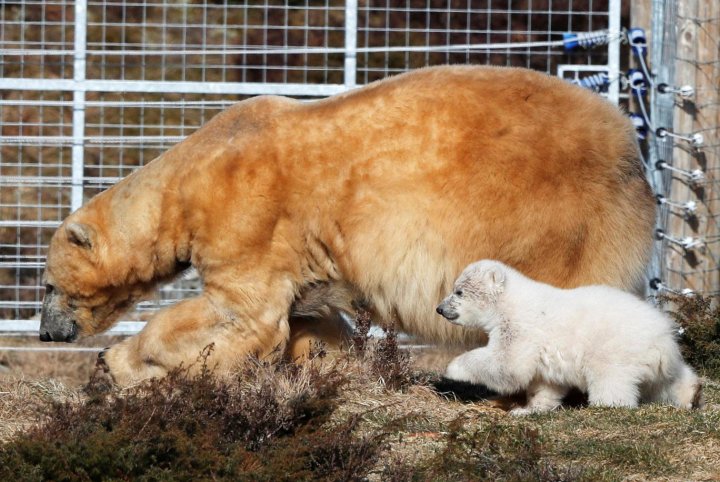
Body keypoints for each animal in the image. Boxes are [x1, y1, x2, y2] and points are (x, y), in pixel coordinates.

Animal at [42, 65, 656, 384]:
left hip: (553, 220)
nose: (47, 332)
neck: (188, 181)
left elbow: (238, 315)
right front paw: (327, 359)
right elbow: (307, 319)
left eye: (47, 285)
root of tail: (630, 147)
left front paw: (112, 366)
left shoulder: (248, 217)